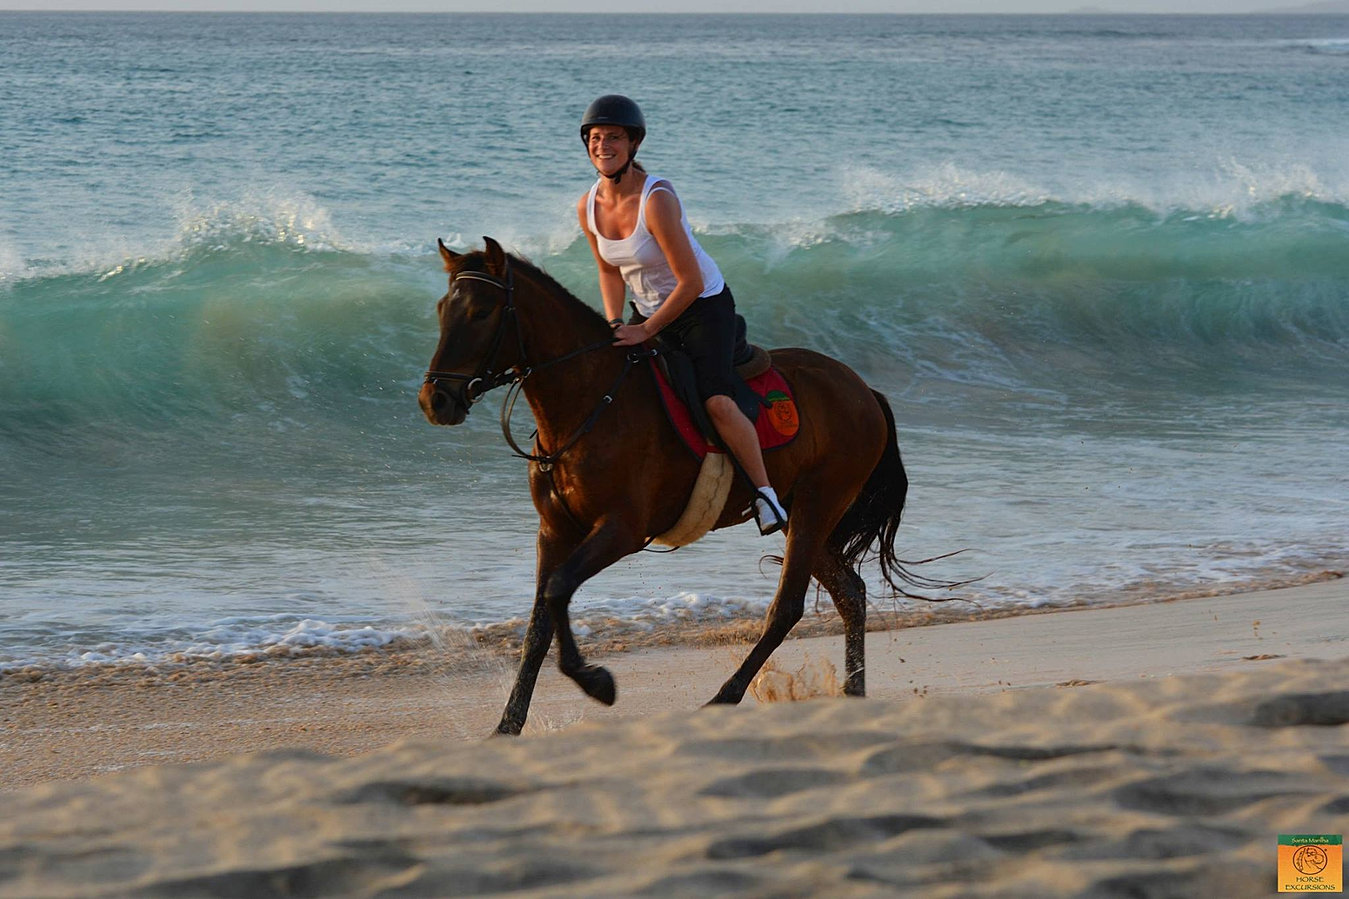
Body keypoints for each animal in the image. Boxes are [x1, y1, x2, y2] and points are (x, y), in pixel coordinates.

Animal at [419, 236, 922, 736]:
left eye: (482, 312)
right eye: (443, 309)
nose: (434, 400)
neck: (590, 399)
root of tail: (865, 390)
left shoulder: (622, 530)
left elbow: (558, 590)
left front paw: (596, 682)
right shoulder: (554, 532)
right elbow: (539, 624)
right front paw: (508, 724)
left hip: (819, 503)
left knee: (788, 608)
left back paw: (724, 698)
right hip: (800, 512)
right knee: (849, 593)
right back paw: (852, 696)